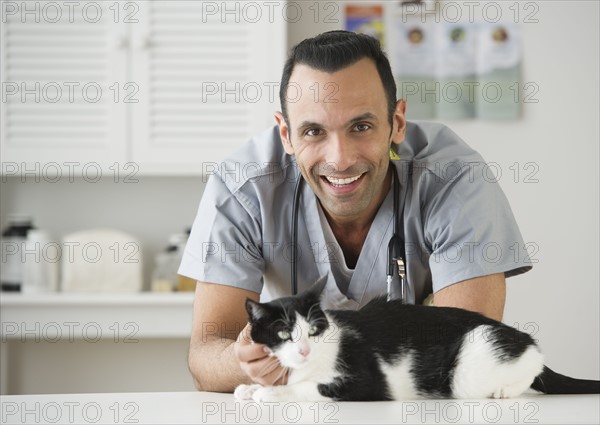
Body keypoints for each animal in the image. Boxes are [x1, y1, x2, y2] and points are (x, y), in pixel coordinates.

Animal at [234, 278, 600, 400]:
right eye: (284, 333)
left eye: (313, 330)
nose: (305, 350)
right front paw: (252, 387)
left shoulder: (367, 382)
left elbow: (311, 388)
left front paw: (270, 394)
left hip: (473, 362)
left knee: (533, 364)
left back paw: (505, 390)